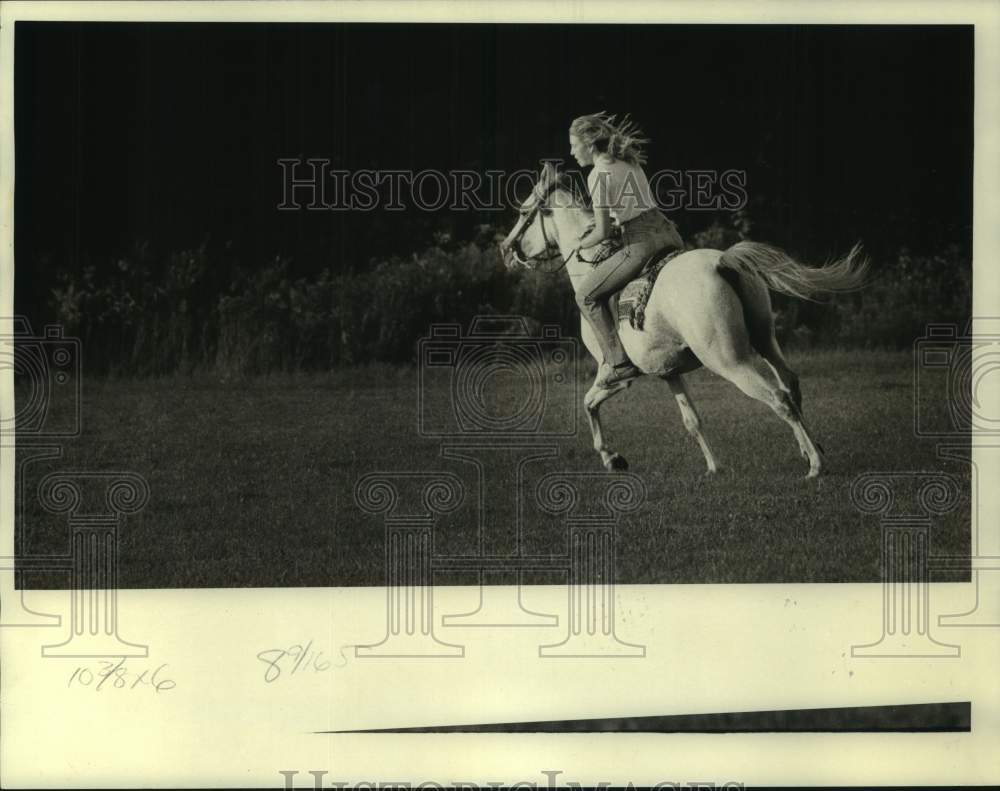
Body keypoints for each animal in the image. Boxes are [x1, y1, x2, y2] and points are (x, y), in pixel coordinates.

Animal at [500, 162, 868, 476]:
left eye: (523, 212)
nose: (506, 249)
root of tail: (724, 262)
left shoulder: (613, 374)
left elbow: (589, 404)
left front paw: (612, 458)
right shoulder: (669, 371)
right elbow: (692, 420)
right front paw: (713, 467)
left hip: (730, 360)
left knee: (779, 398)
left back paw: (816, 464)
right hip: (765, 342)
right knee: (790, 384)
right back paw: (810, 449)